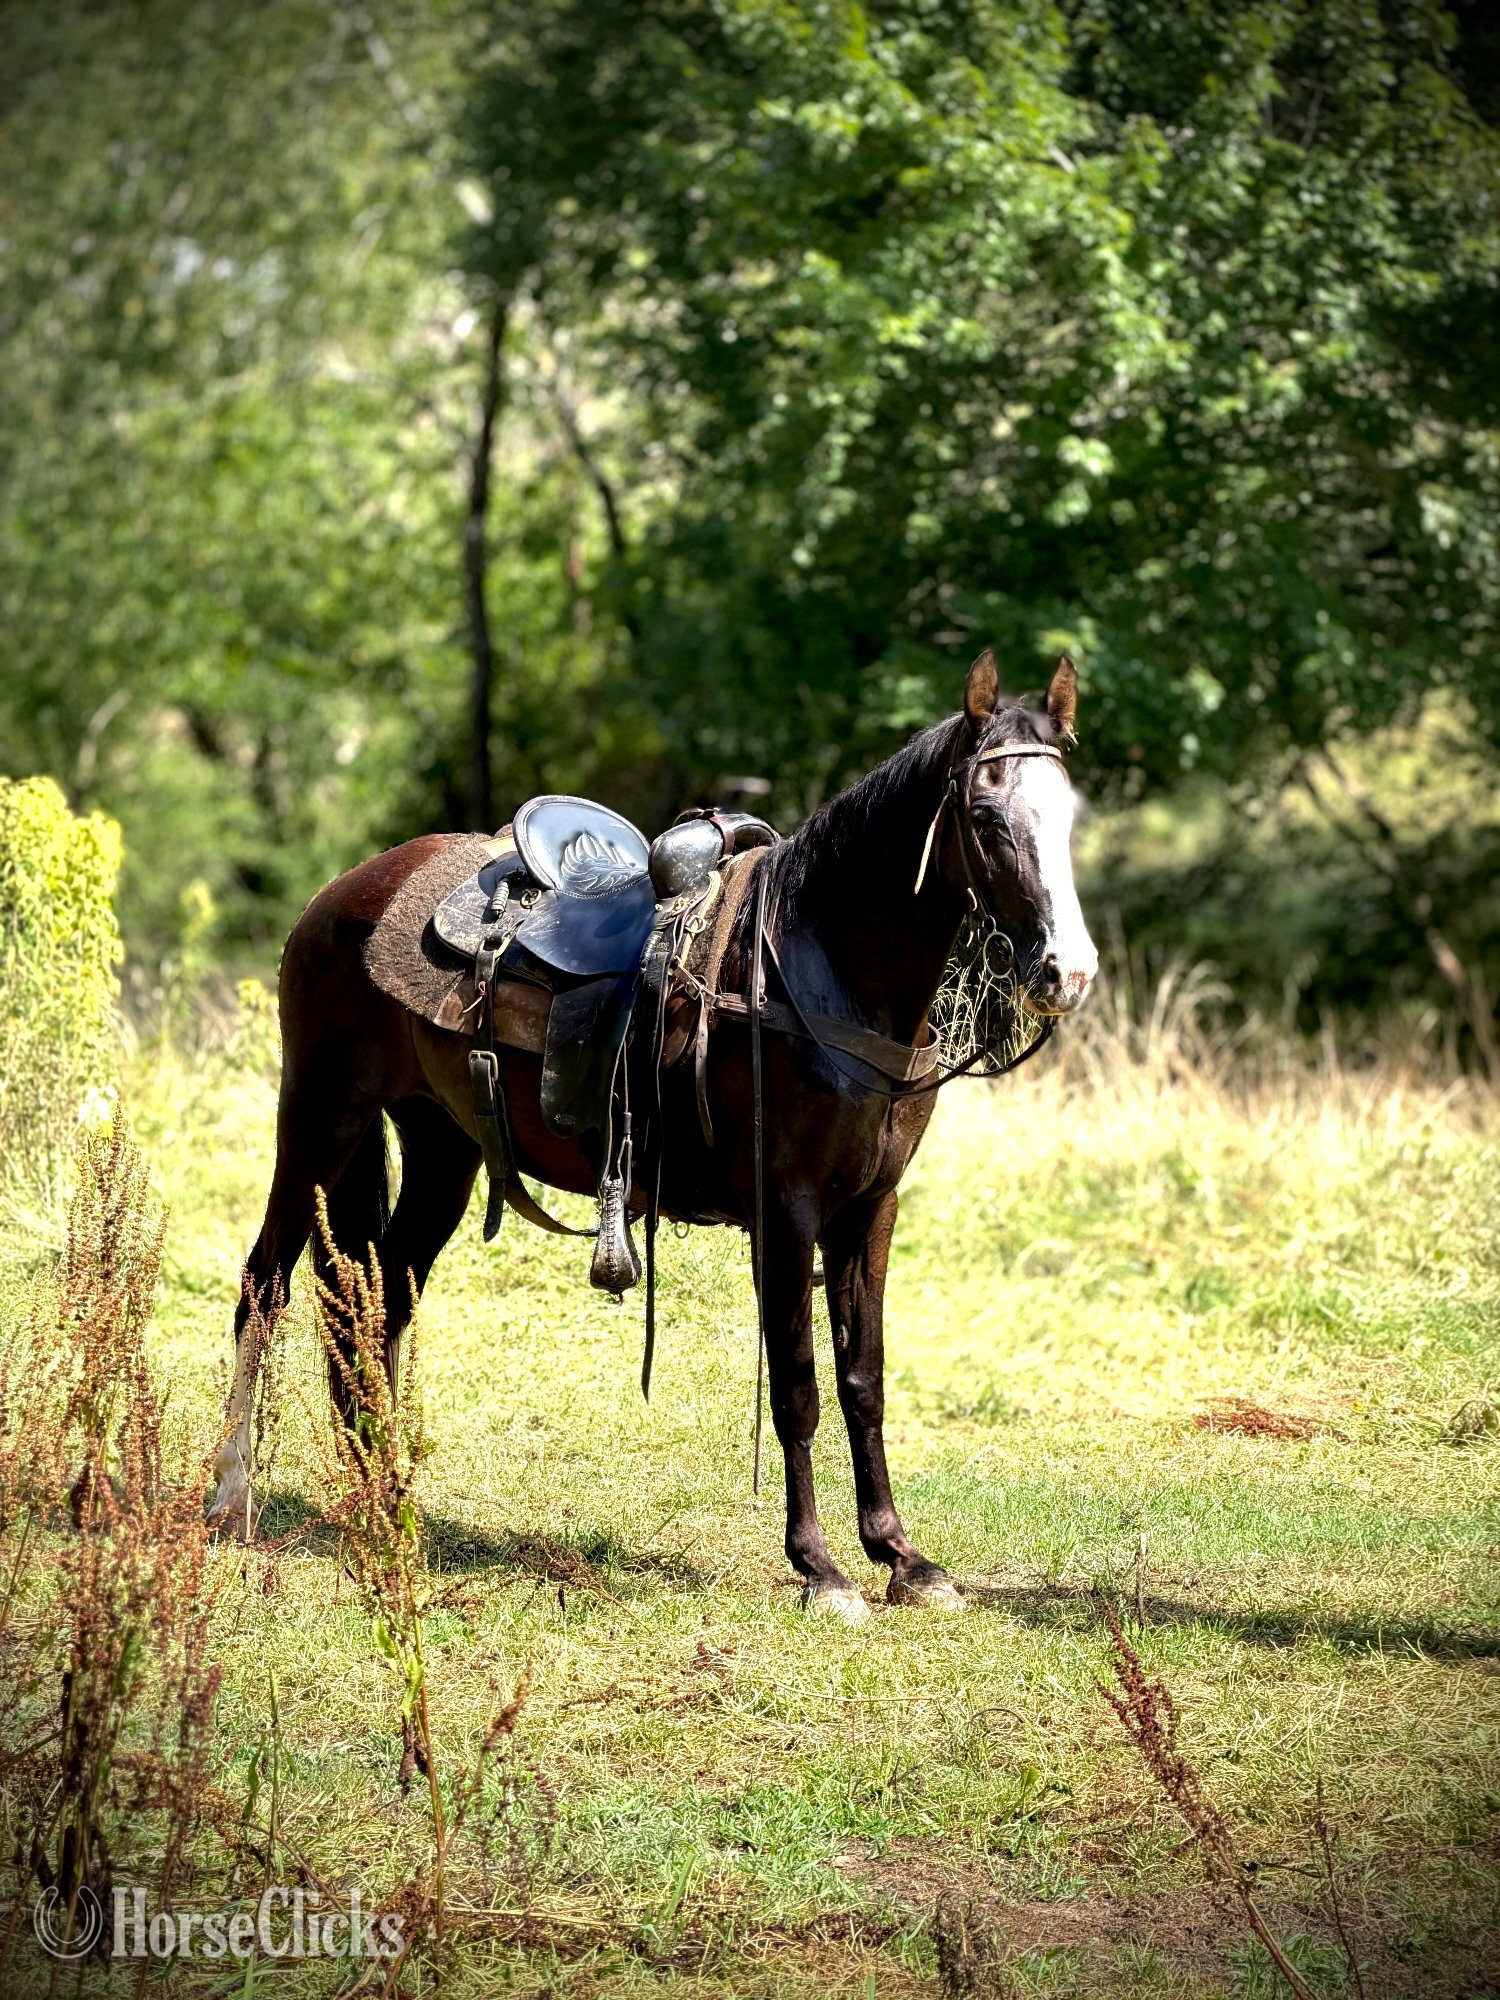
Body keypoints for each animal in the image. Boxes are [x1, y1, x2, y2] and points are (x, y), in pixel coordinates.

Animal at [209, 650, 1097, 1620]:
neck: (821, 967)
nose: (1068, 972)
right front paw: (820, 1569)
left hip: (441, 1146)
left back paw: (383, 1499)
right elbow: (798, 1387)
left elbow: (863, 1380)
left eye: (1070, 815)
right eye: (985, 817)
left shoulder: (872, 1207)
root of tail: (341, 894)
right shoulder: (786, 1210)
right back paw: (231, 1497)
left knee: (381, 1299)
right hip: (318, 1116)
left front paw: (900, 1556)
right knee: (265, 1285)